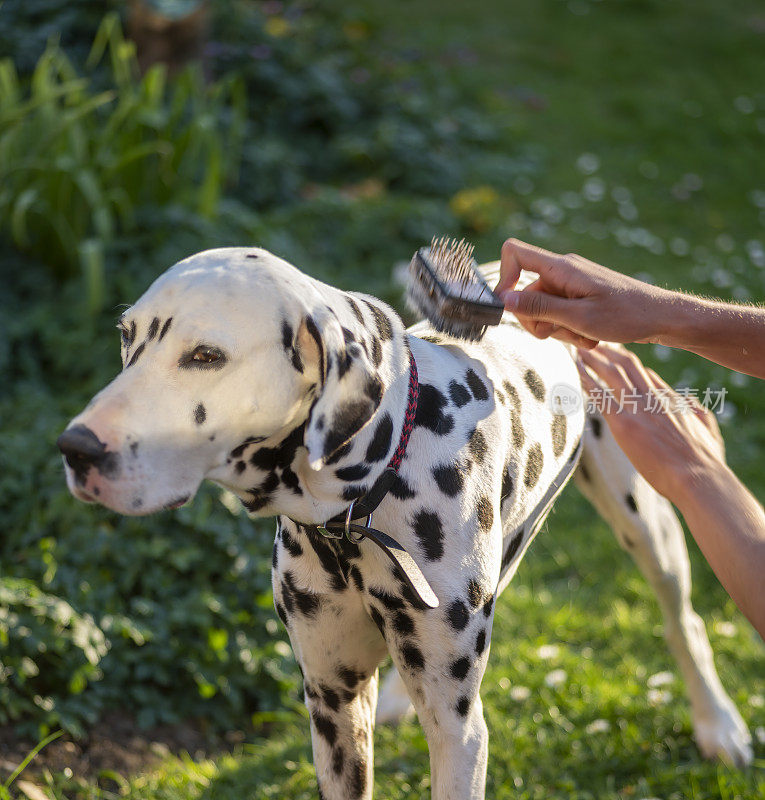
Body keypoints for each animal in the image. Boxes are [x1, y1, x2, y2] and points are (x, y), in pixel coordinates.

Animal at [56, 247, 748, 796]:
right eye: (128, 337)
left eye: (206, 355)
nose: (75, 448)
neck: (364, 505)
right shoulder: (332, 702)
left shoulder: (459, 730)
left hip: (646, 521)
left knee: (683, 619)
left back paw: (718, 724)